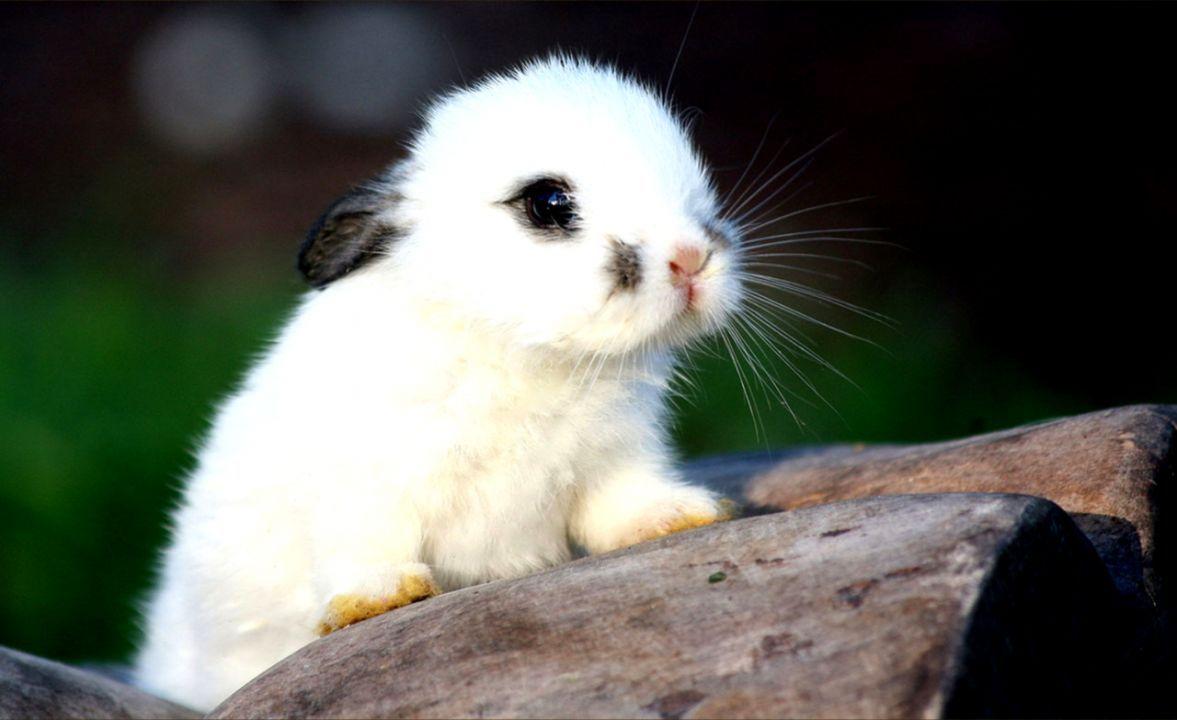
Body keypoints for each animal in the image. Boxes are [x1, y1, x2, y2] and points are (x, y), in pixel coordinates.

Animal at [133, 55, 745, 711]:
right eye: (548, 202)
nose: (691, 259)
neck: (518, 351)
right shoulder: (364, 484)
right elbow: (366, 544)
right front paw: (381, 598)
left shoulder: (614, 460)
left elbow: (622, 506)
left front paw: (681, 516)